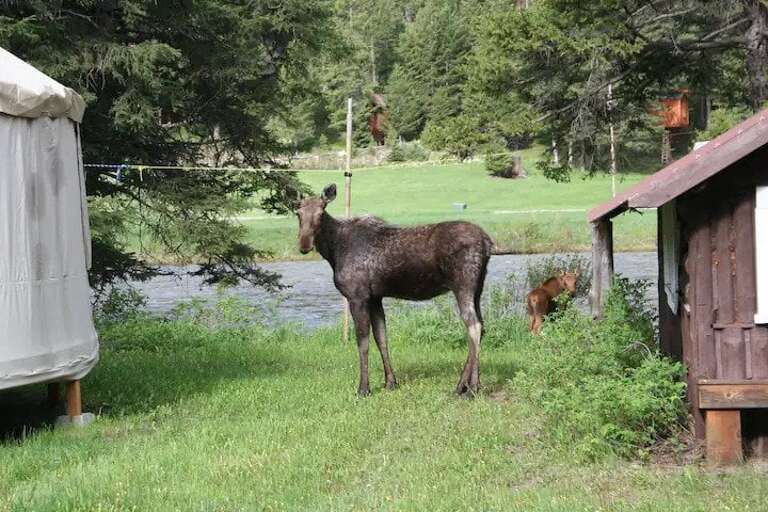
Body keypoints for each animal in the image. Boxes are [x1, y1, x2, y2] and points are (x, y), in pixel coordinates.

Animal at [296, 184, 513, 397]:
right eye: (298, 213)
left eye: (321, 213)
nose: (304, 245)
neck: (334, 252)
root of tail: (488, 242)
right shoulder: (375, 297)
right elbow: (381, 338)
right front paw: (390, 382)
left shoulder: (357, 296)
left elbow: (363, 343)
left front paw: (363, 388)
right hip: (478, 287)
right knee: (482, 325)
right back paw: (463, 385)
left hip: (463, 284)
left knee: (473, 326)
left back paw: (472, 388)